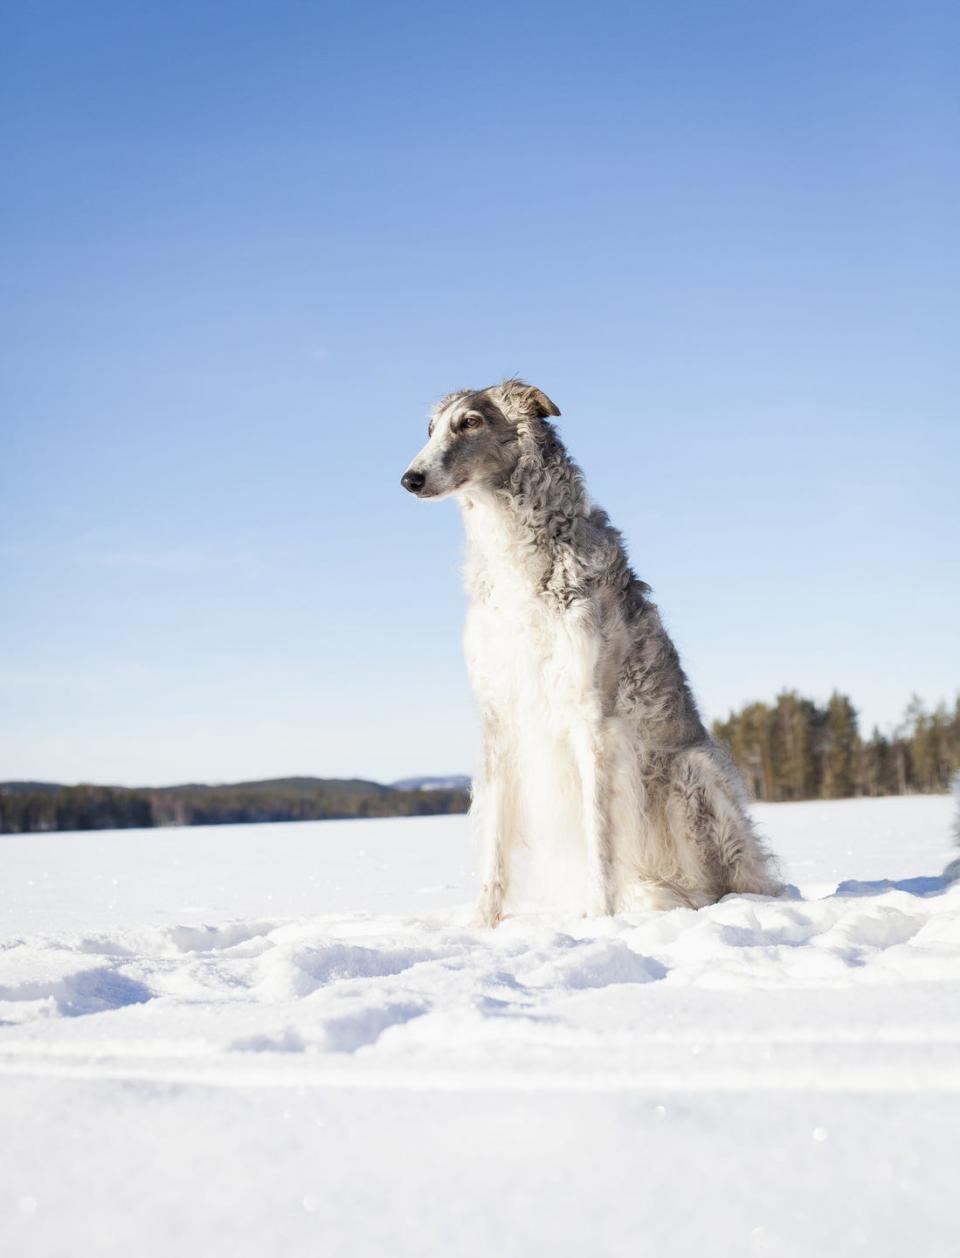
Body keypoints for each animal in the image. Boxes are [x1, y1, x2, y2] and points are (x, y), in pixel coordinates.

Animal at [400, 377, 780, 930]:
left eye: (469, 422)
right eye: (429, 430)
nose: (410, 478)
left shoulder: (592, 718)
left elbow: (598, 833)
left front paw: (599, 918)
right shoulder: (499, 718)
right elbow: (493, 845)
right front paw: (483, 926)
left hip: (692, 774)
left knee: (720, 886)